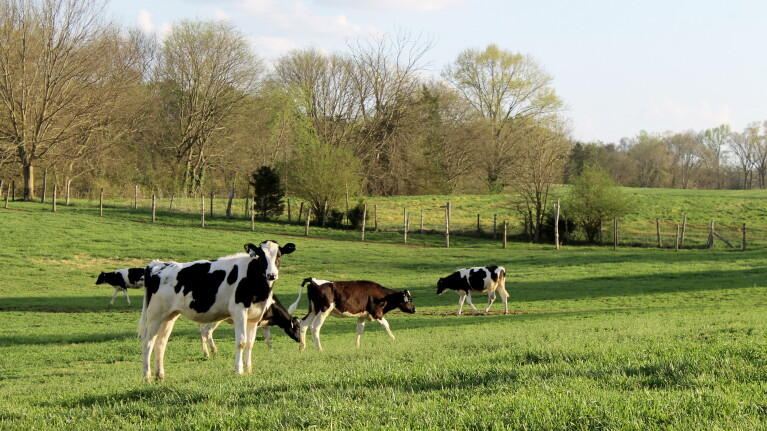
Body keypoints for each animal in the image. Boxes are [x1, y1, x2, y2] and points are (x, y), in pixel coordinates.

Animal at [137, 240, 295, 381]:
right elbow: (241, 342)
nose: (271, 275)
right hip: (155, 314)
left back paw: (160, 376)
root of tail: (157, 264)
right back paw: (147, 376)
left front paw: (249, 369)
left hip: (169, 315)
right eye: (261, 256)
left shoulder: (254, 317)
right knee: (148, 341)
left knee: (161, 343)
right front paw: (239, 371)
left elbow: (250, 343)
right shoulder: (239, 312)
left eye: (279, 256)